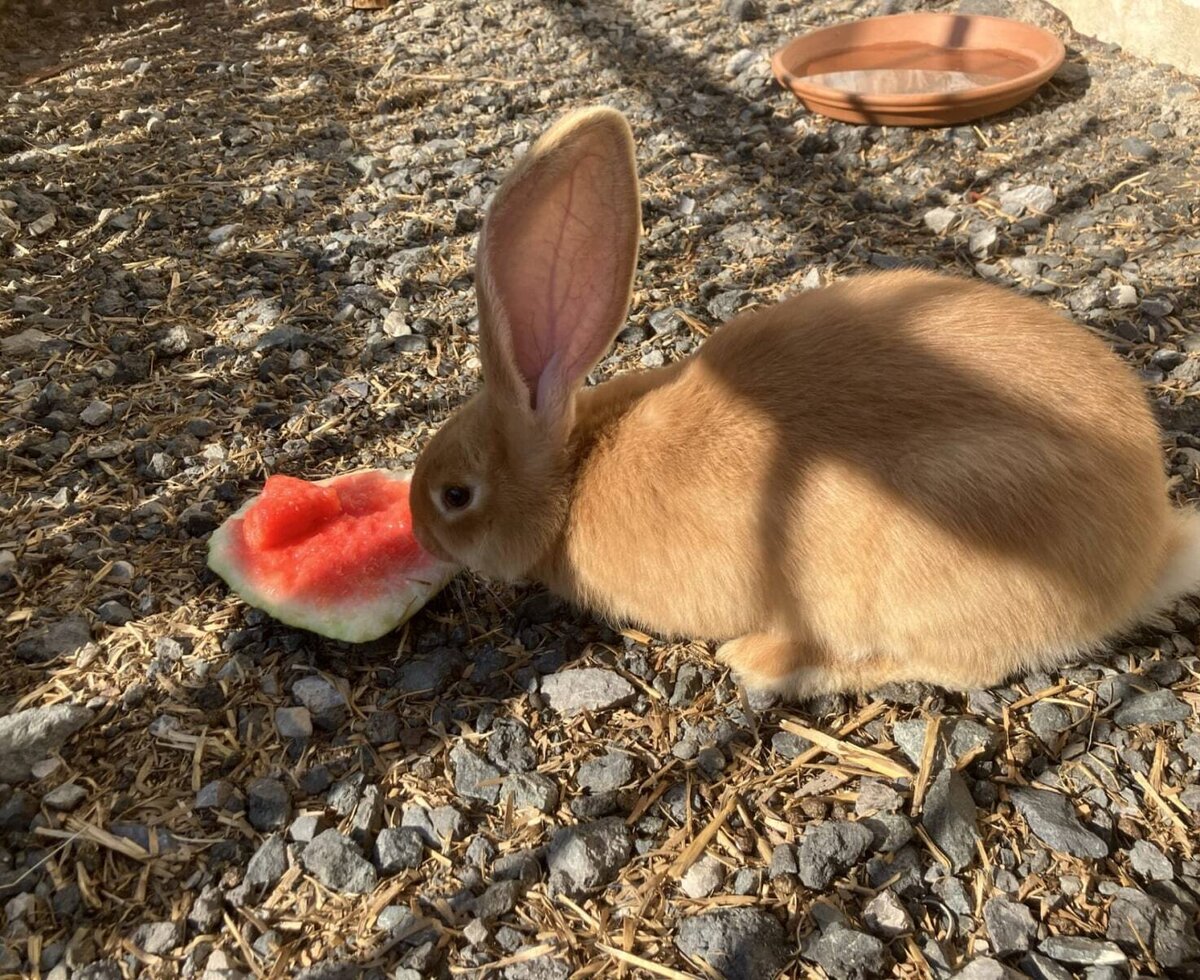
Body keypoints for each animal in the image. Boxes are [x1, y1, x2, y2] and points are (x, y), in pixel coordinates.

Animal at [409, 105, 1200, 698]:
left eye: (455, 495)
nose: (418, 532)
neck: (574, 466)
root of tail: (1147, 548)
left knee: (944, 666)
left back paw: (765, 662)